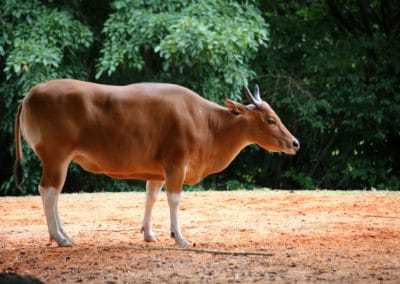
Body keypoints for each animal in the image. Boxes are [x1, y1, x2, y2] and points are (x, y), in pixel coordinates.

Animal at [14, 80, 298, 246]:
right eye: (270, 120)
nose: (295, 143)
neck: (206, 122)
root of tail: (28, 96)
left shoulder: (157, 173)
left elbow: (151, 198)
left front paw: (149, 234)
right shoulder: (176, 164)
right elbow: (174, 199)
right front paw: (179, 236)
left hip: (61, 160)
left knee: (54, 193)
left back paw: (64, 233)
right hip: (55, 156)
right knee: (48, 191)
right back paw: (59, 237)